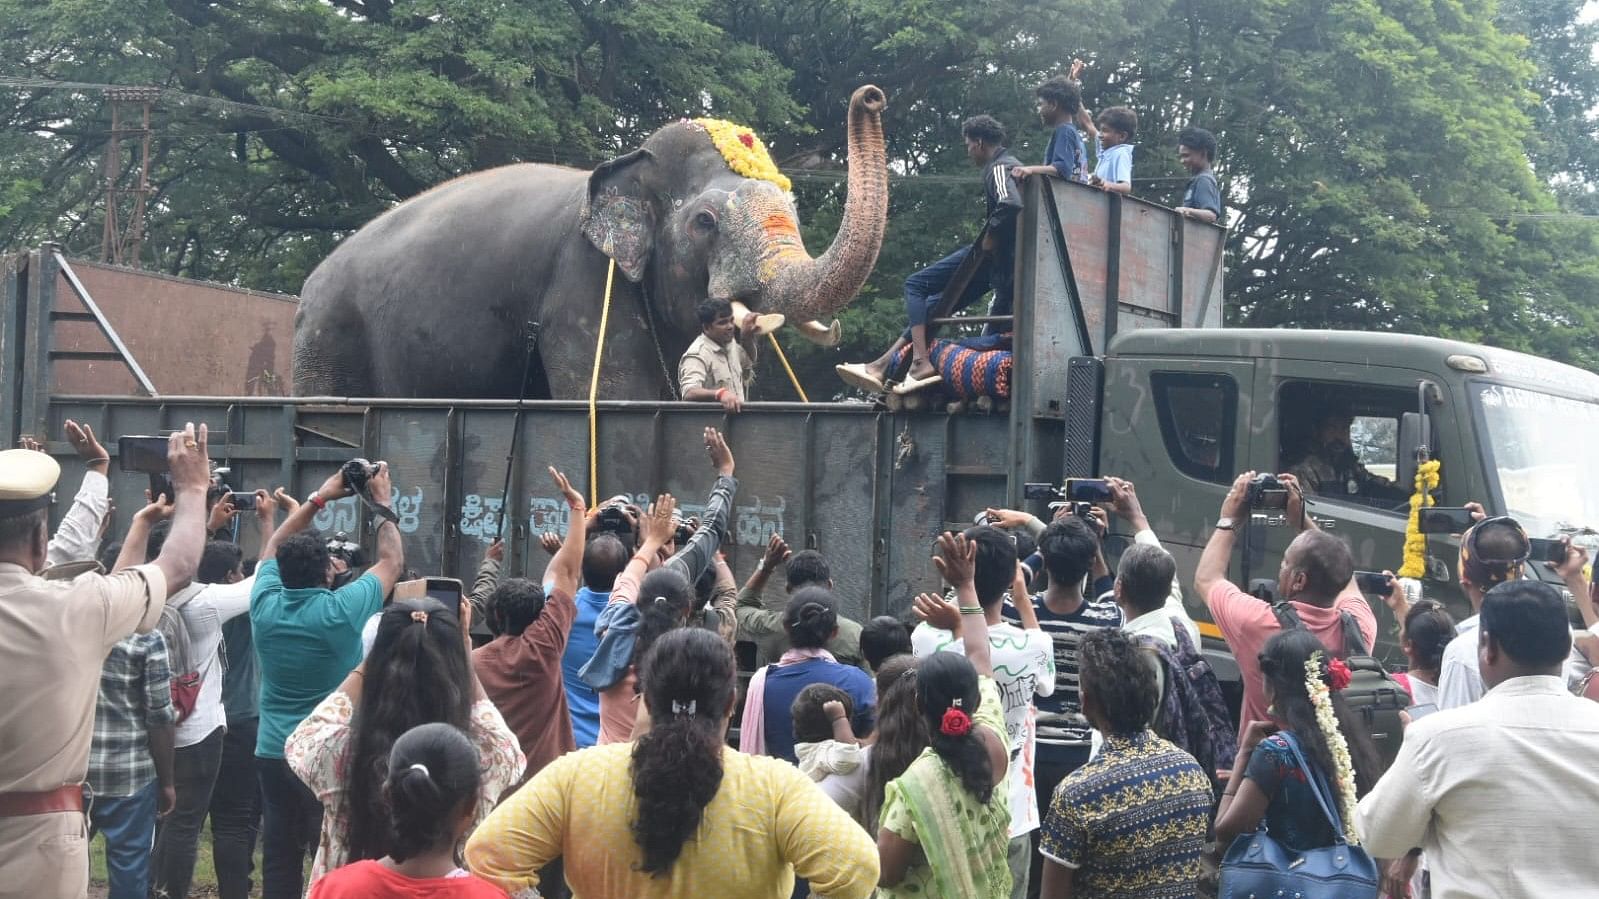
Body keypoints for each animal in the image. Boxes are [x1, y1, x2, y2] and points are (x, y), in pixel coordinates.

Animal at [287, 84, 889, 398]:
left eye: (793, 208)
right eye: (704, 222)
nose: (871, 97)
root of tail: (308, 285)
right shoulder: (583, 283)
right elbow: (617, 398)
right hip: (328, 338)